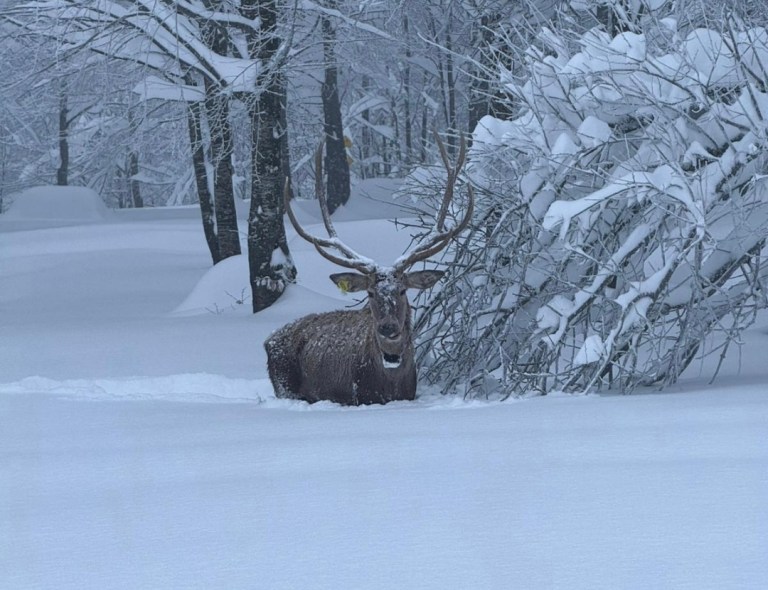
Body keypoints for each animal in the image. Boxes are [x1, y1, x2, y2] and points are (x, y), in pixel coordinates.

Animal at [265, 133, 474, 405]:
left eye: (403, 290)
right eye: (370, 293)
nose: (388, 327)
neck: (390, 386)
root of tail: (269, 340)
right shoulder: (359, 397)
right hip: (283, 383)